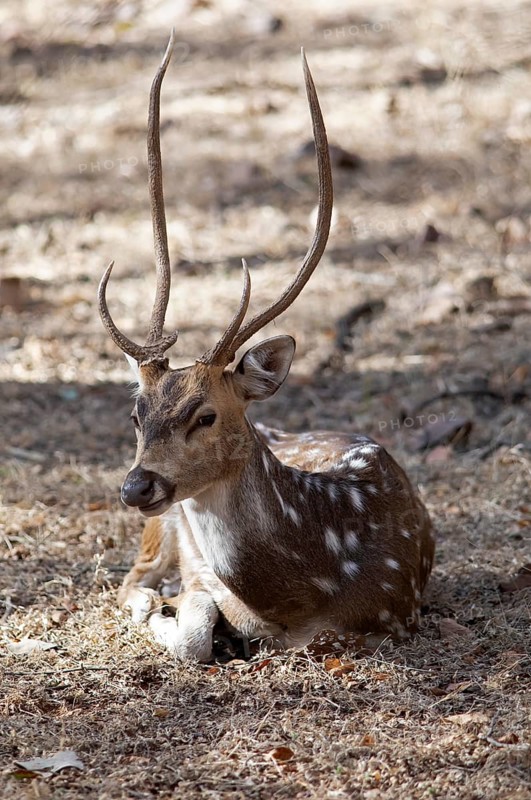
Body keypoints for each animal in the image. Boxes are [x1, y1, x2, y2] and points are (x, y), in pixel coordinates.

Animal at [98, 32, 435, 662]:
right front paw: (175, 618)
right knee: (128, 582)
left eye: (206, 415)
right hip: (159, 528)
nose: (137, 484)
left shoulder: (386, 617)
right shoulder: (201, 574)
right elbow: (192, 632)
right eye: (135, 414)